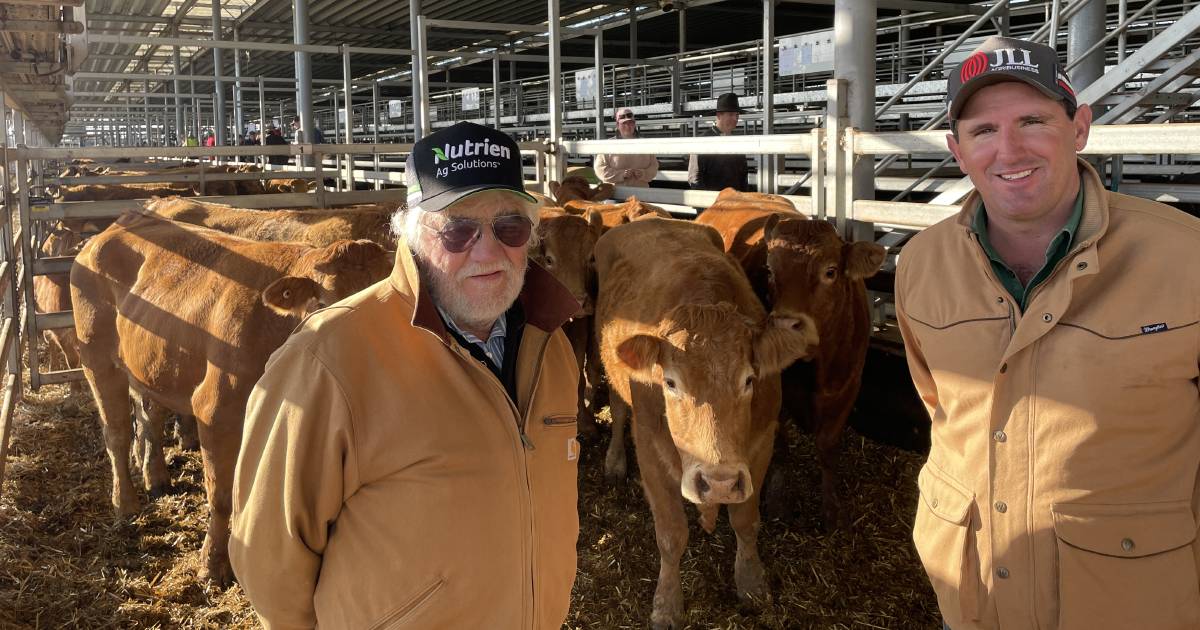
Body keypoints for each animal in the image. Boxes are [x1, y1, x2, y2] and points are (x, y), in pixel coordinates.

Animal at [71, 212, 388, 585]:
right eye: (324, 305)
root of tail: (122, 221)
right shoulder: (215, 412)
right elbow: (222, 495)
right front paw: (213, 565)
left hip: (151, 363)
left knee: (150, 415)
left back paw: (156, 478)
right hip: (97, 358)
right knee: (117, 432)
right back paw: (125, 504)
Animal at [595, 217, 820, 628]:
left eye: (749, 379)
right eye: (670, 382)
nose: (719, 483)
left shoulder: (760, 444)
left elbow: (745, 520)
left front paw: (752, 583)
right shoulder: (650, 446)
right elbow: (671, 534)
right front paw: (667, 604)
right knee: (618, 410)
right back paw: (614, 462)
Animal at [696, 206, 883, 525]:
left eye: (830, 271)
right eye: (770, 270)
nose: (786, 327)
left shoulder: (847, 388)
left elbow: (827, 447)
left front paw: (831, 507)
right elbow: (781, 445)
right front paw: (778, 499)